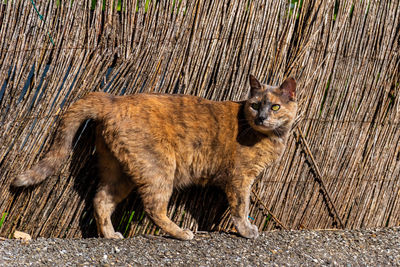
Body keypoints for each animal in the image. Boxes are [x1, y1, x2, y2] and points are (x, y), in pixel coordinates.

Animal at [12, 75, 296, 241]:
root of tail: (113, 99)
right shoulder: (240, 178)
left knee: (101, 199)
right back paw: (181, 233)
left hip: (118, 170)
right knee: (153, 208)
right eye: (255, 105)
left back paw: (110, 235)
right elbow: (240, 207)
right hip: (159, 168)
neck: (270, 137)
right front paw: (247, 231)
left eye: (275, 106)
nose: (262, 118)